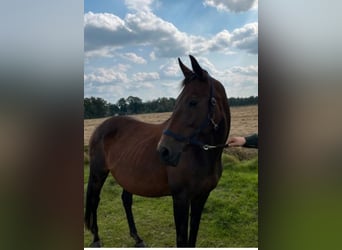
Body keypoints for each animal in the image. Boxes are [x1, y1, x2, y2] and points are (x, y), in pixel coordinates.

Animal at [84, 55, 231, 248]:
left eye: (193, 102)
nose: (164, 150)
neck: (203, 156)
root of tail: (100, 127)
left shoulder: (201, 198)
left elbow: (192, 238)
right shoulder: (180, 199)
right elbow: (182, 240)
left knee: (126, 200)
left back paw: (137, 238)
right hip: (98, 172)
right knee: (94, 200)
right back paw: (96, 239)